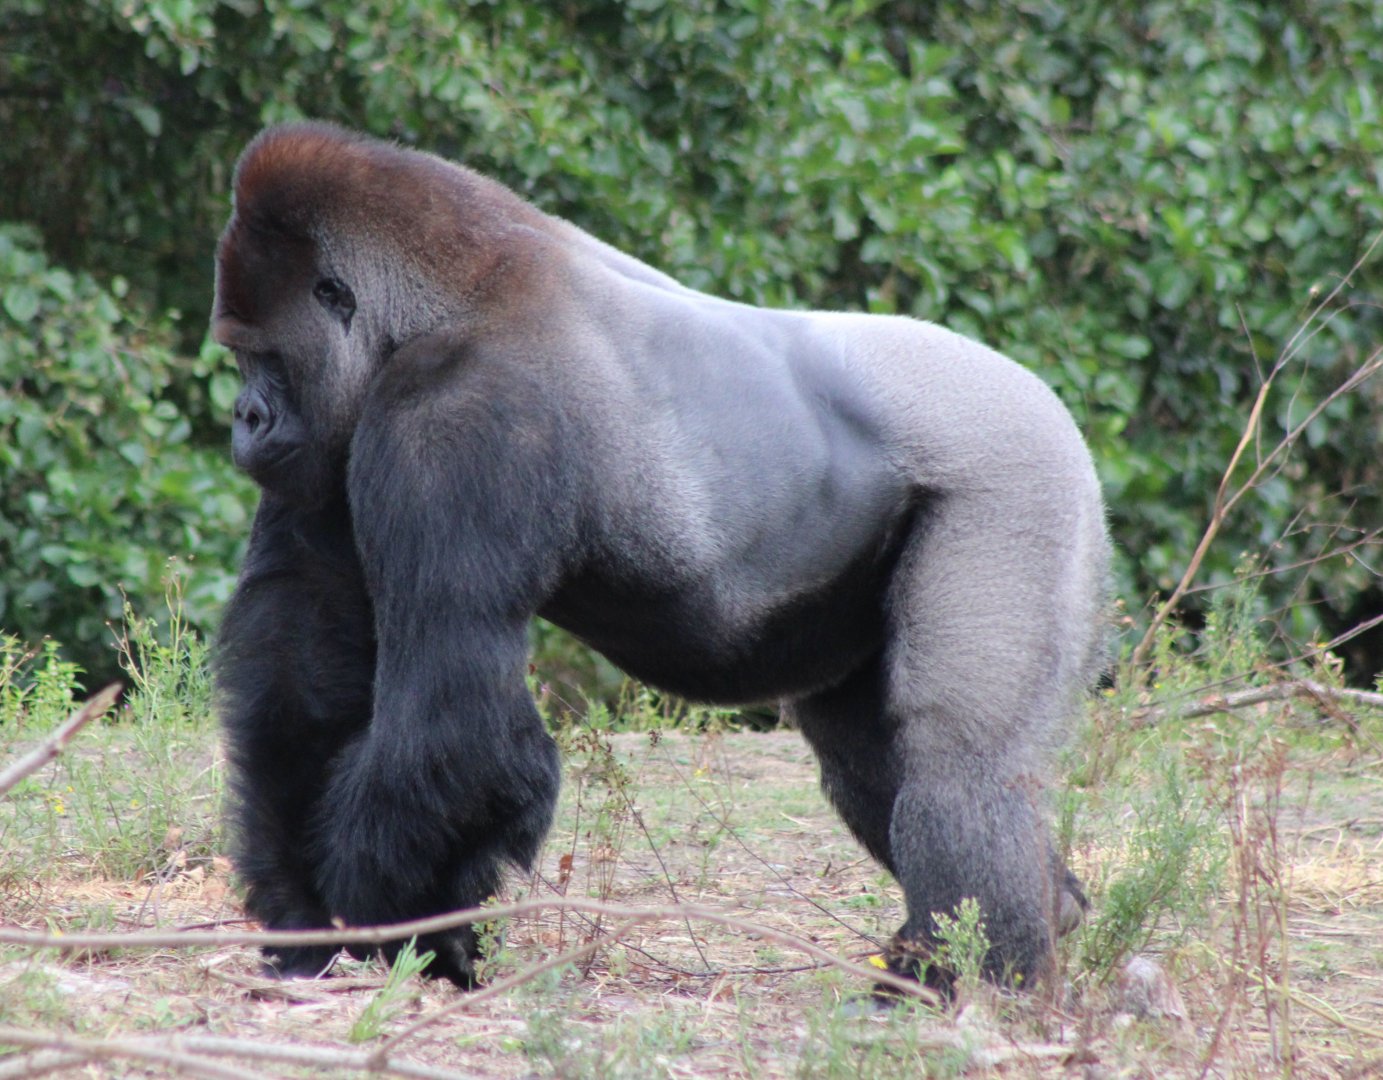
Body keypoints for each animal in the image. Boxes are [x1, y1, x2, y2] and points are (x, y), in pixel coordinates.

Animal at [211, 122, 1109, 991]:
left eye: (264, 355)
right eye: (237, 354)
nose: (245, 417)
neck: (439, 301)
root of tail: (1039, 394)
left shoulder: (449, 417)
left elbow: (454, 713)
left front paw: (391, 916)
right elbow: (302, 656)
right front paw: (302, 914)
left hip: (1016, 477)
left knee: (958, 755)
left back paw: (974, 970)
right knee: (861, 754)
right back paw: (1039, 912)